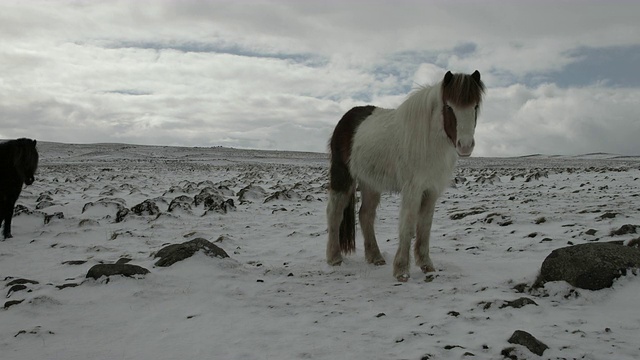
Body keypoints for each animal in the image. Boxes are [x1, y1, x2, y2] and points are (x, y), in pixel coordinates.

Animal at [324, 70, 484, 282]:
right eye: (449, 106)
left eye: (475, 106)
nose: (465, 146)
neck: (428, 140)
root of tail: (346, 119)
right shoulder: (412, 189)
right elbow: (407, 226)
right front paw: (401, 271)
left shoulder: (431, 190)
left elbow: (424, 227)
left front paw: (426, 265)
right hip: (343, 175)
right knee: (334, 213)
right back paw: (334, 258)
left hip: (370, 182)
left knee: (366, 215)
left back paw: (375, 257)